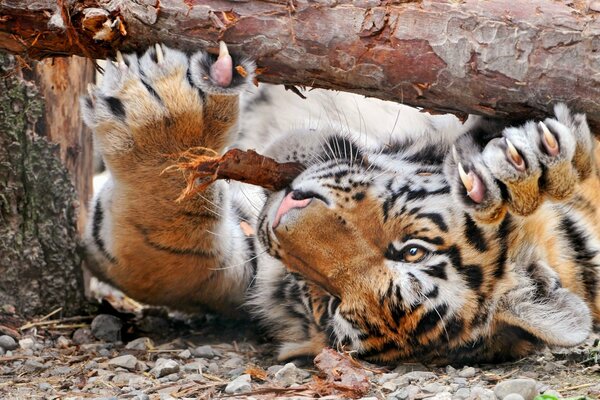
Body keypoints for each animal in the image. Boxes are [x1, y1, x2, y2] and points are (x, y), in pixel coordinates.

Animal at [83, 43, 600, 366]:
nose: (283, 213)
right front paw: (534, 162)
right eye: (411, 249)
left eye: (326, 300)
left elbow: (160, 258)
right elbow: (159, 253)